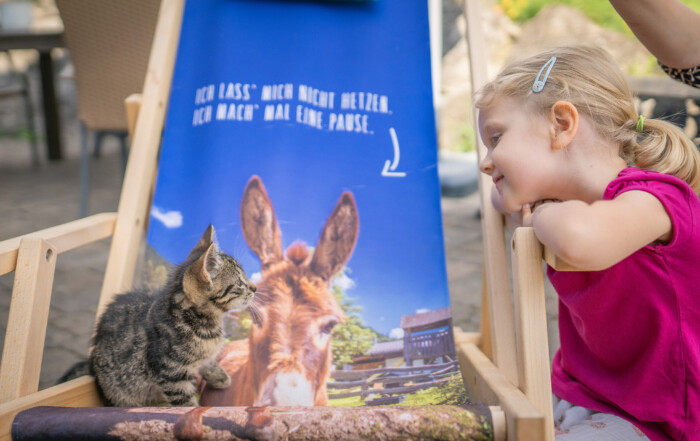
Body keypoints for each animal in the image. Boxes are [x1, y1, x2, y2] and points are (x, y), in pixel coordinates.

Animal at [89, 227, 256, 406]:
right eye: (239, 283)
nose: (255, 288)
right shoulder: (174, 377)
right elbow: (187, 406)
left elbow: (207, 360)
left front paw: (218, 375)